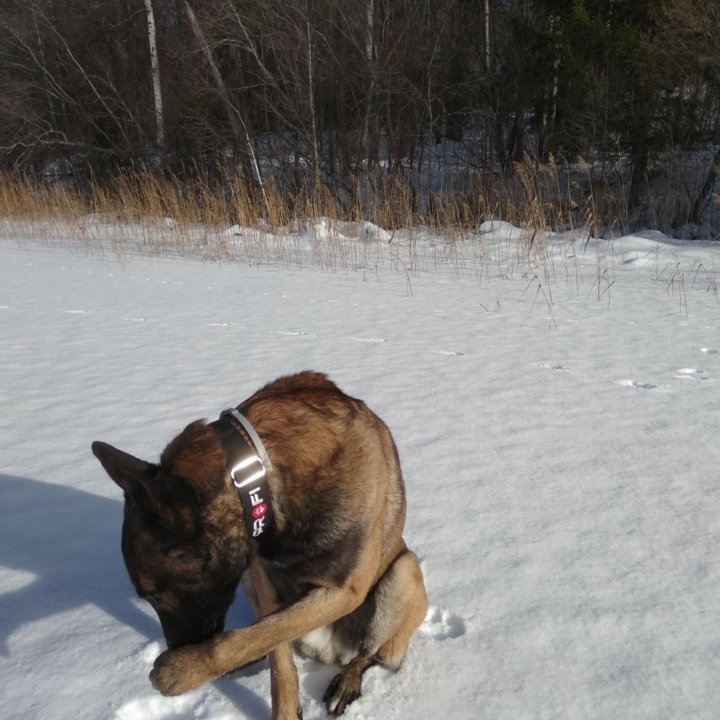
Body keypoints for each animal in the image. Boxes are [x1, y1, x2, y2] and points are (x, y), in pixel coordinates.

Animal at [90, 374, 428, 716]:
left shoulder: (346, 590)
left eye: (155, 596)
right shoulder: (263, 574)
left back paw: (347, 681)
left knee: (368, 654)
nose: (174, 648)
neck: (259, 474)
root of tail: (326, 650)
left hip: (403, 572)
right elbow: (270, 648)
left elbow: (264, 632)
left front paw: (181, 670)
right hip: (250, 580)